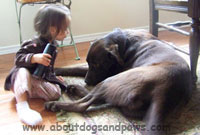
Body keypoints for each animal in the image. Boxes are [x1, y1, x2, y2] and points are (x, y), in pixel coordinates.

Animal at [45, 28, 192, 135]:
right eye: (88, 62)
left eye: (98, 64)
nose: (86, 81)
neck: (124, 43)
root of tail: (164, 91)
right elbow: (76, 68)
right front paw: (56, 70)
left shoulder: (110, 73)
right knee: (102, 100)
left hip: (113, 79)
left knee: (84, 104)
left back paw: (57, 102)